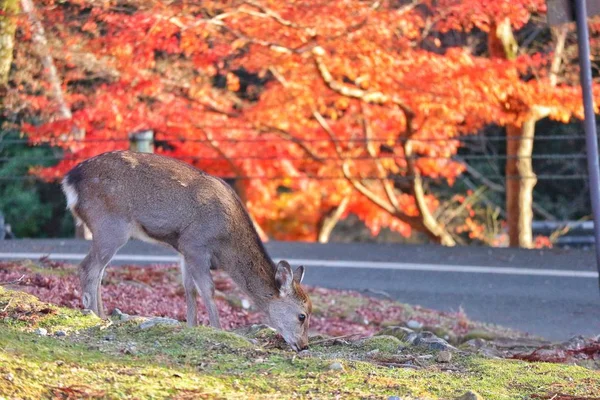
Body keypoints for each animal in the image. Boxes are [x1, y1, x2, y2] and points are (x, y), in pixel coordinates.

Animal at [62, 150, 314, 350]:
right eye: (302, 315)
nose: (303, 346)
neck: (226, 244)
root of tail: (69, 180)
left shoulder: (183, 249)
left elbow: (189, 288)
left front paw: (192, 326)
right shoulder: (196, 244)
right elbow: (208, 289)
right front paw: (218, 330)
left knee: (99, 271)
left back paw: (105, 316)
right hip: (110, 225)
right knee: (88, 268)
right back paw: (95, 316)